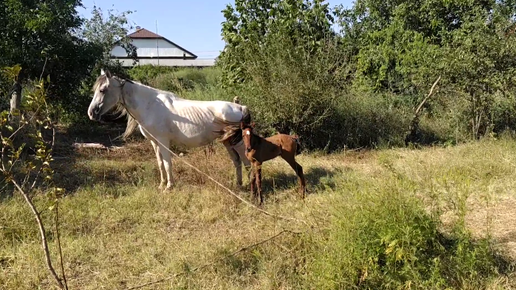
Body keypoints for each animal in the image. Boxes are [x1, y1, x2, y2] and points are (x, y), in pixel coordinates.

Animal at [88, 69, 252, 191]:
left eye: (103, 90)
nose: (91, 113)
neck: (150, 106)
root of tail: (240, 107)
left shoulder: (163, 141)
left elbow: (168, 164)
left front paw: (169, 186)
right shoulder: (154, 142)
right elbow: (160, 164)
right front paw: (161, 185)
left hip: (238, 143)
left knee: (246, 162)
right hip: (227, 141)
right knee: (237, 161)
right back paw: (238, 184)